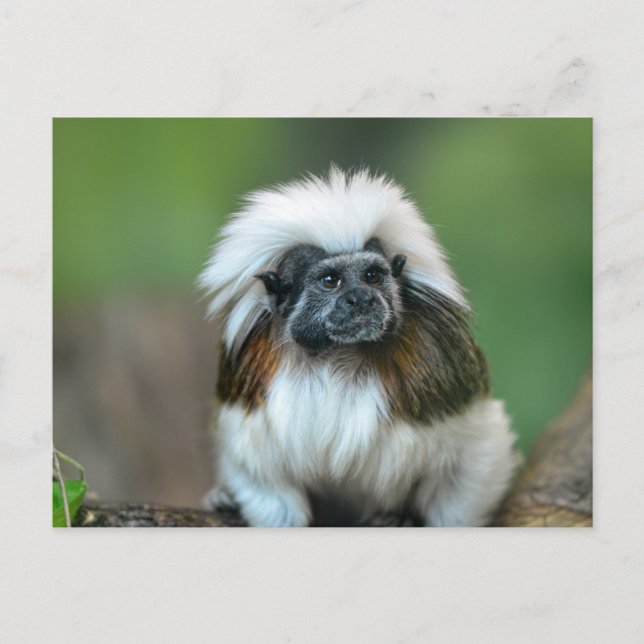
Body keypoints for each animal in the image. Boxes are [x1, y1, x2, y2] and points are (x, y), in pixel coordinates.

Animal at [199, 167, 518, 527]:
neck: (337, 356)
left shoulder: (443, 372)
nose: (361, 299)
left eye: (372, 275)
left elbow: (474, 454)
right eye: (330, 281)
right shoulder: (248, 382)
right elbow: (257, 472)